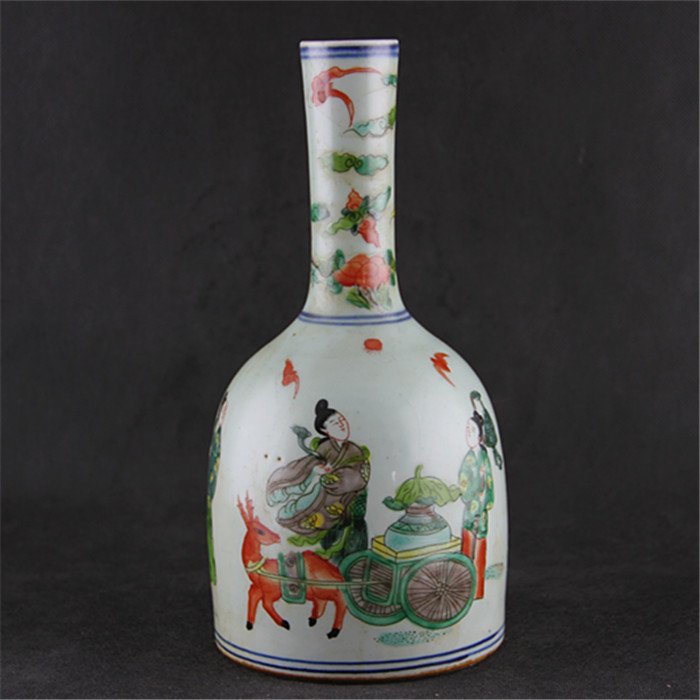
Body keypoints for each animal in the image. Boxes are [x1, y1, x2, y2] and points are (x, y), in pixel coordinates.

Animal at [237, 493, 347, 638]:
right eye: (260, 531)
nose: (277, 537)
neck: (261, 567)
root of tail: (335, 571)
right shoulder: (258, 588)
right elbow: (252, 596)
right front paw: (249, 624)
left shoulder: (273, 592)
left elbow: (266, 604)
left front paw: (284, 623)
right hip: (316, 592)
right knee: (322, 604)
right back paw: (313, 620)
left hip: (324, 587)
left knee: (340, 600)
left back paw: (334, 630)